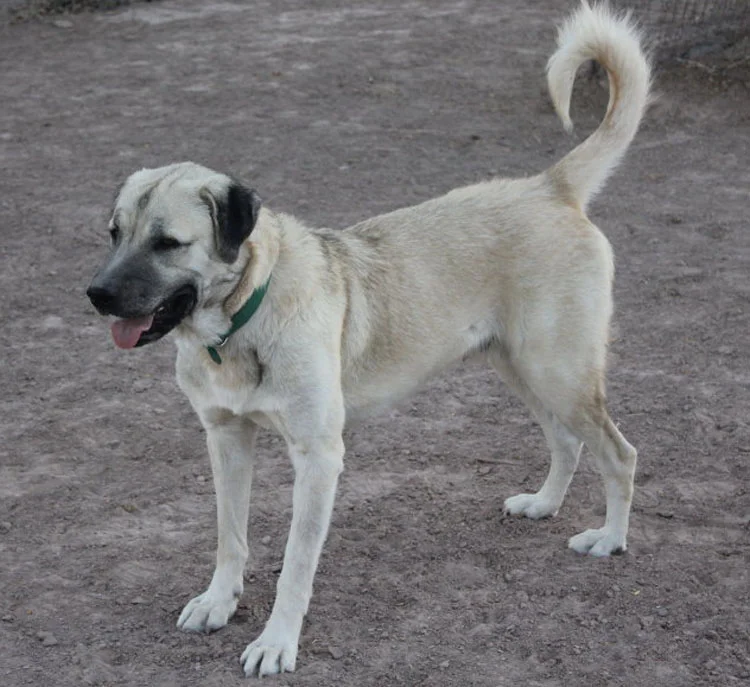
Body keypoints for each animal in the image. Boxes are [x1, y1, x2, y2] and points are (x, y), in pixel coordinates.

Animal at [86, 0, 652, 676]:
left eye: (168, 242)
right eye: (114, 232)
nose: (95, 295)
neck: (245, 317)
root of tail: (548, 185)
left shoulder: (318, 458)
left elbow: (295, 566)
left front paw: (276, 642)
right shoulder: (225, 438)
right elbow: (230, 538)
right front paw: (219, 602)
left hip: (558, 371)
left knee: (620, 453)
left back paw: (610, 539)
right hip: (521, 368)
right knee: (567, 441)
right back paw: (544, 504)